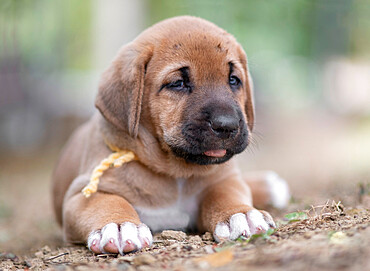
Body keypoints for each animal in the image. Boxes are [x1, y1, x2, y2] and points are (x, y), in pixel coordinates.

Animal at [52, 16, 290, 255]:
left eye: (233, 80)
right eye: (178, 83)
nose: (227, 125)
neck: (175, 174)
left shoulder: (225, 178)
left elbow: (225, 194)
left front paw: (240, 214)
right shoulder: (81, 194)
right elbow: (107, 202)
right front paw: (119, 225)